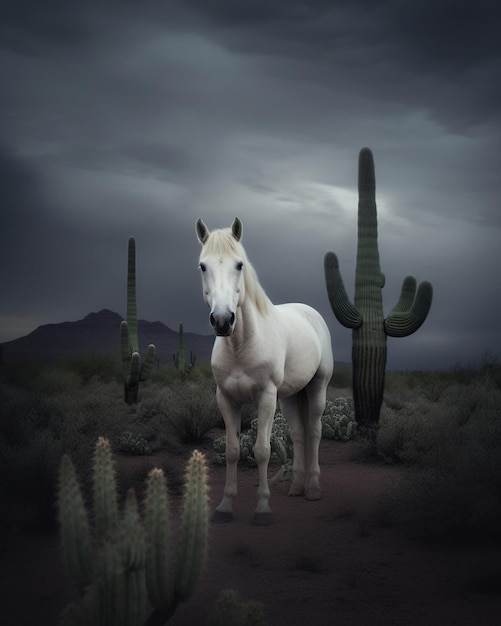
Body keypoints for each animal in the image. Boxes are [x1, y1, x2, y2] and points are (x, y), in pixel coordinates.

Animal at [195, 217, 332, 524]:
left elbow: (261, 451)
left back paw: (313, 487)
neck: (241, 345)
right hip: (291, 396)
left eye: (239, 265)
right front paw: (225, 506)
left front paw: (262, 509)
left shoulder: (267, 398)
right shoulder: (226, 399)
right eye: (202, 266)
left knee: (314, 431)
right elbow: (233, 451)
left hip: (317, 387)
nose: (223, 320)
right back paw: (296, 486)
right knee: (298, 433)